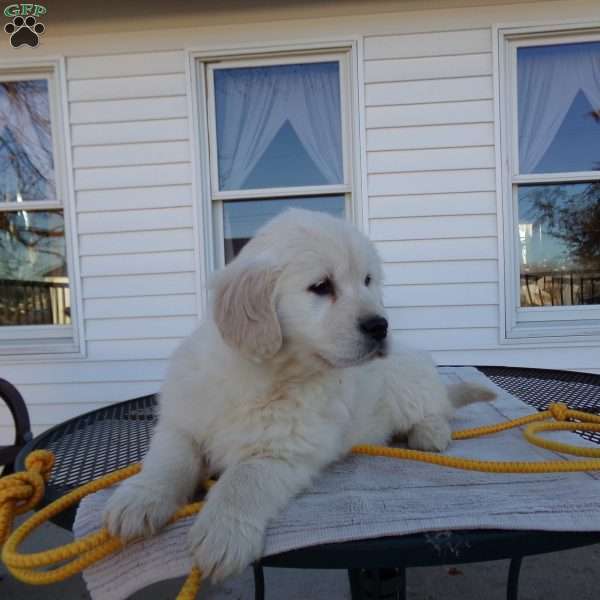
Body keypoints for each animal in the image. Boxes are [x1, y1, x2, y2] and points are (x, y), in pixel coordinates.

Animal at [104, 210, 496, 580]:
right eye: (321, 286)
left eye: (367, 281)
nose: (380, 326)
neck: (262, 375)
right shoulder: (182, 421)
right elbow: (168, 460)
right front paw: (139, 499)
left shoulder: (283, 451)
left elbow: (243, 480)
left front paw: (223, 532)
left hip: (407, 382)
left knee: (437, 407)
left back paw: (430, 432)